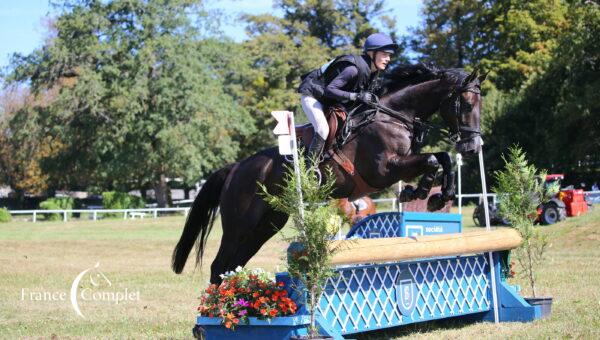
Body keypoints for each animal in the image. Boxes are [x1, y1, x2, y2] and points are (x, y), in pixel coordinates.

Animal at [171, 65, 486, 282]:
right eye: (466, 104)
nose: (473, 147)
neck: (393, 115)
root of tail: (236, 168)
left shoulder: (401, 164)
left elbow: (443, 157)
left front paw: (435, 195)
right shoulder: (383, 170)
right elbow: (433, 159)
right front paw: (420, 192)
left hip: (266, 224)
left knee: (232, 265)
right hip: (240, 224)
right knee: (219, 265)